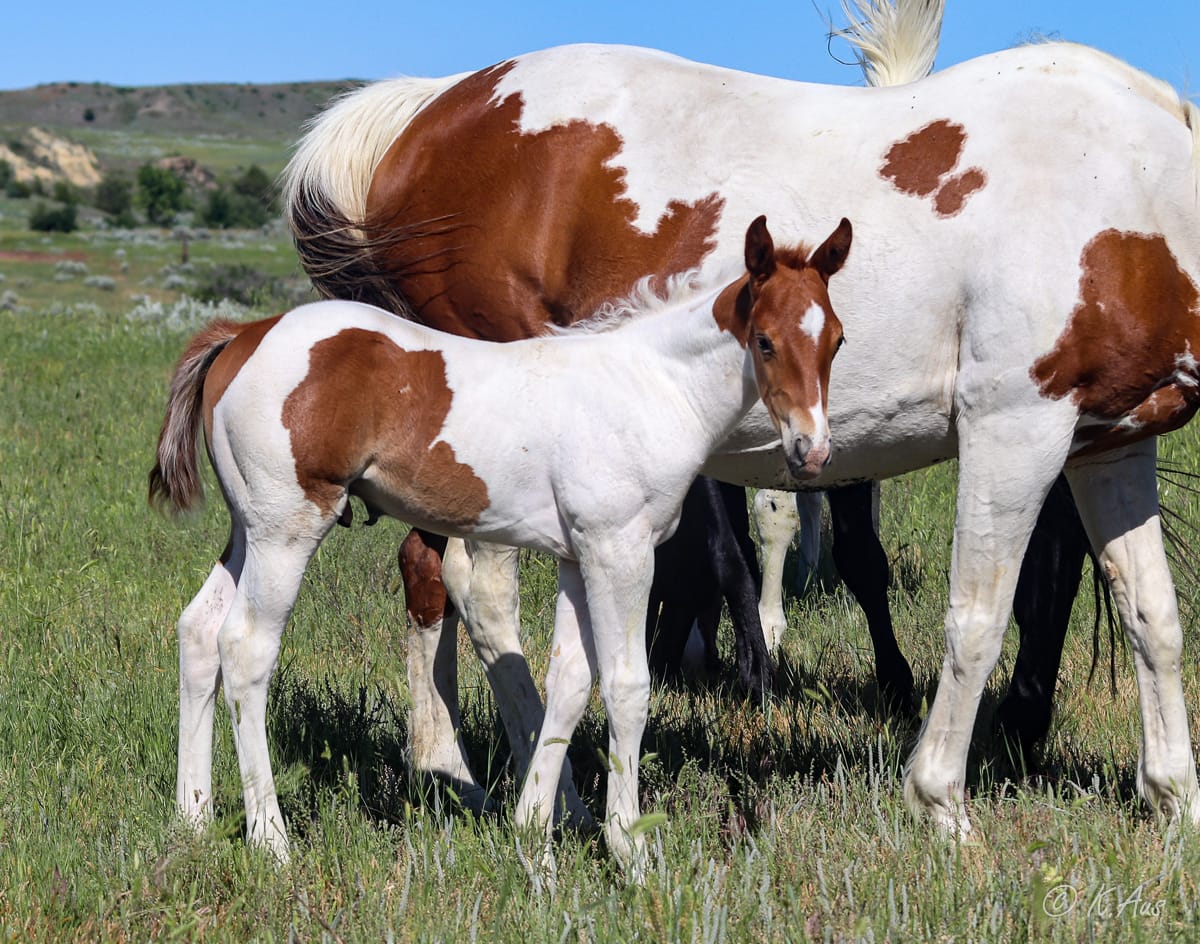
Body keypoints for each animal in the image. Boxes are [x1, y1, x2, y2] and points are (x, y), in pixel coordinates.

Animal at [150, 217, 850, 869]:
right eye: (764, 340)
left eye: (837, 340)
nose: (812, 451)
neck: (647, 386)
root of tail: (243, 337)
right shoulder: (619, 550)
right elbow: (627, 686)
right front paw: (628, 847)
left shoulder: (577, 557)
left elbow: (568, 682)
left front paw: (534, 829)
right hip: (287, 530)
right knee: (245, 649)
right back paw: (271, 838)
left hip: (248, 530)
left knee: (198, 631)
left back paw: (193, 818)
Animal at [281, 31, 1200, 837]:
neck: (1131, 182)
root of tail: (431, 111)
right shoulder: (1015, 425)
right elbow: (976, 618)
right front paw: (940, 802)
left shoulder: (1108, 445)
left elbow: (1152, 616)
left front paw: (1174, 799)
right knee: (482, 591)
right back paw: (556, 795)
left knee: (426, 575)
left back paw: (449, 768)